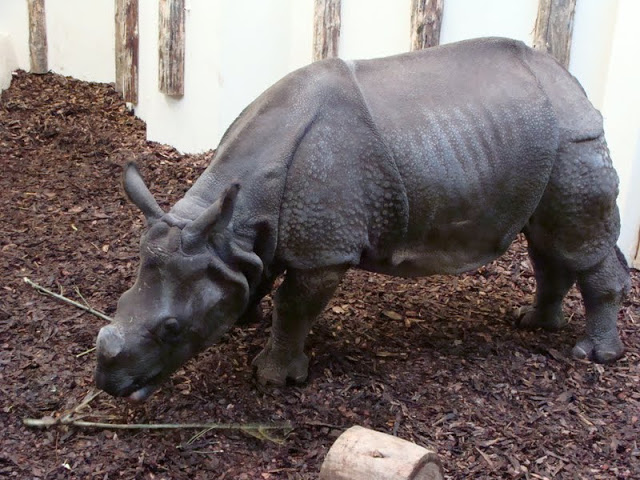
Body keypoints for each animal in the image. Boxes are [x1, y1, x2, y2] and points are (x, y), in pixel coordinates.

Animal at [95, 37, 630, 401]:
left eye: (171, 329)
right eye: (118, 301)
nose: (108, 384)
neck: (234, 226)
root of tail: (568, 81)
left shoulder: (325, 250)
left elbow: (294, 306)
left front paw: (273, 376)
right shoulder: (241, 237)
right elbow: (255, 279)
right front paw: (245, 316)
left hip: (573, 140)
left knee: (577, 241)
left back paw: (593, 356)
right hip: (541, 140)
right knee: (549, 242)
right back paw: (534, 325)